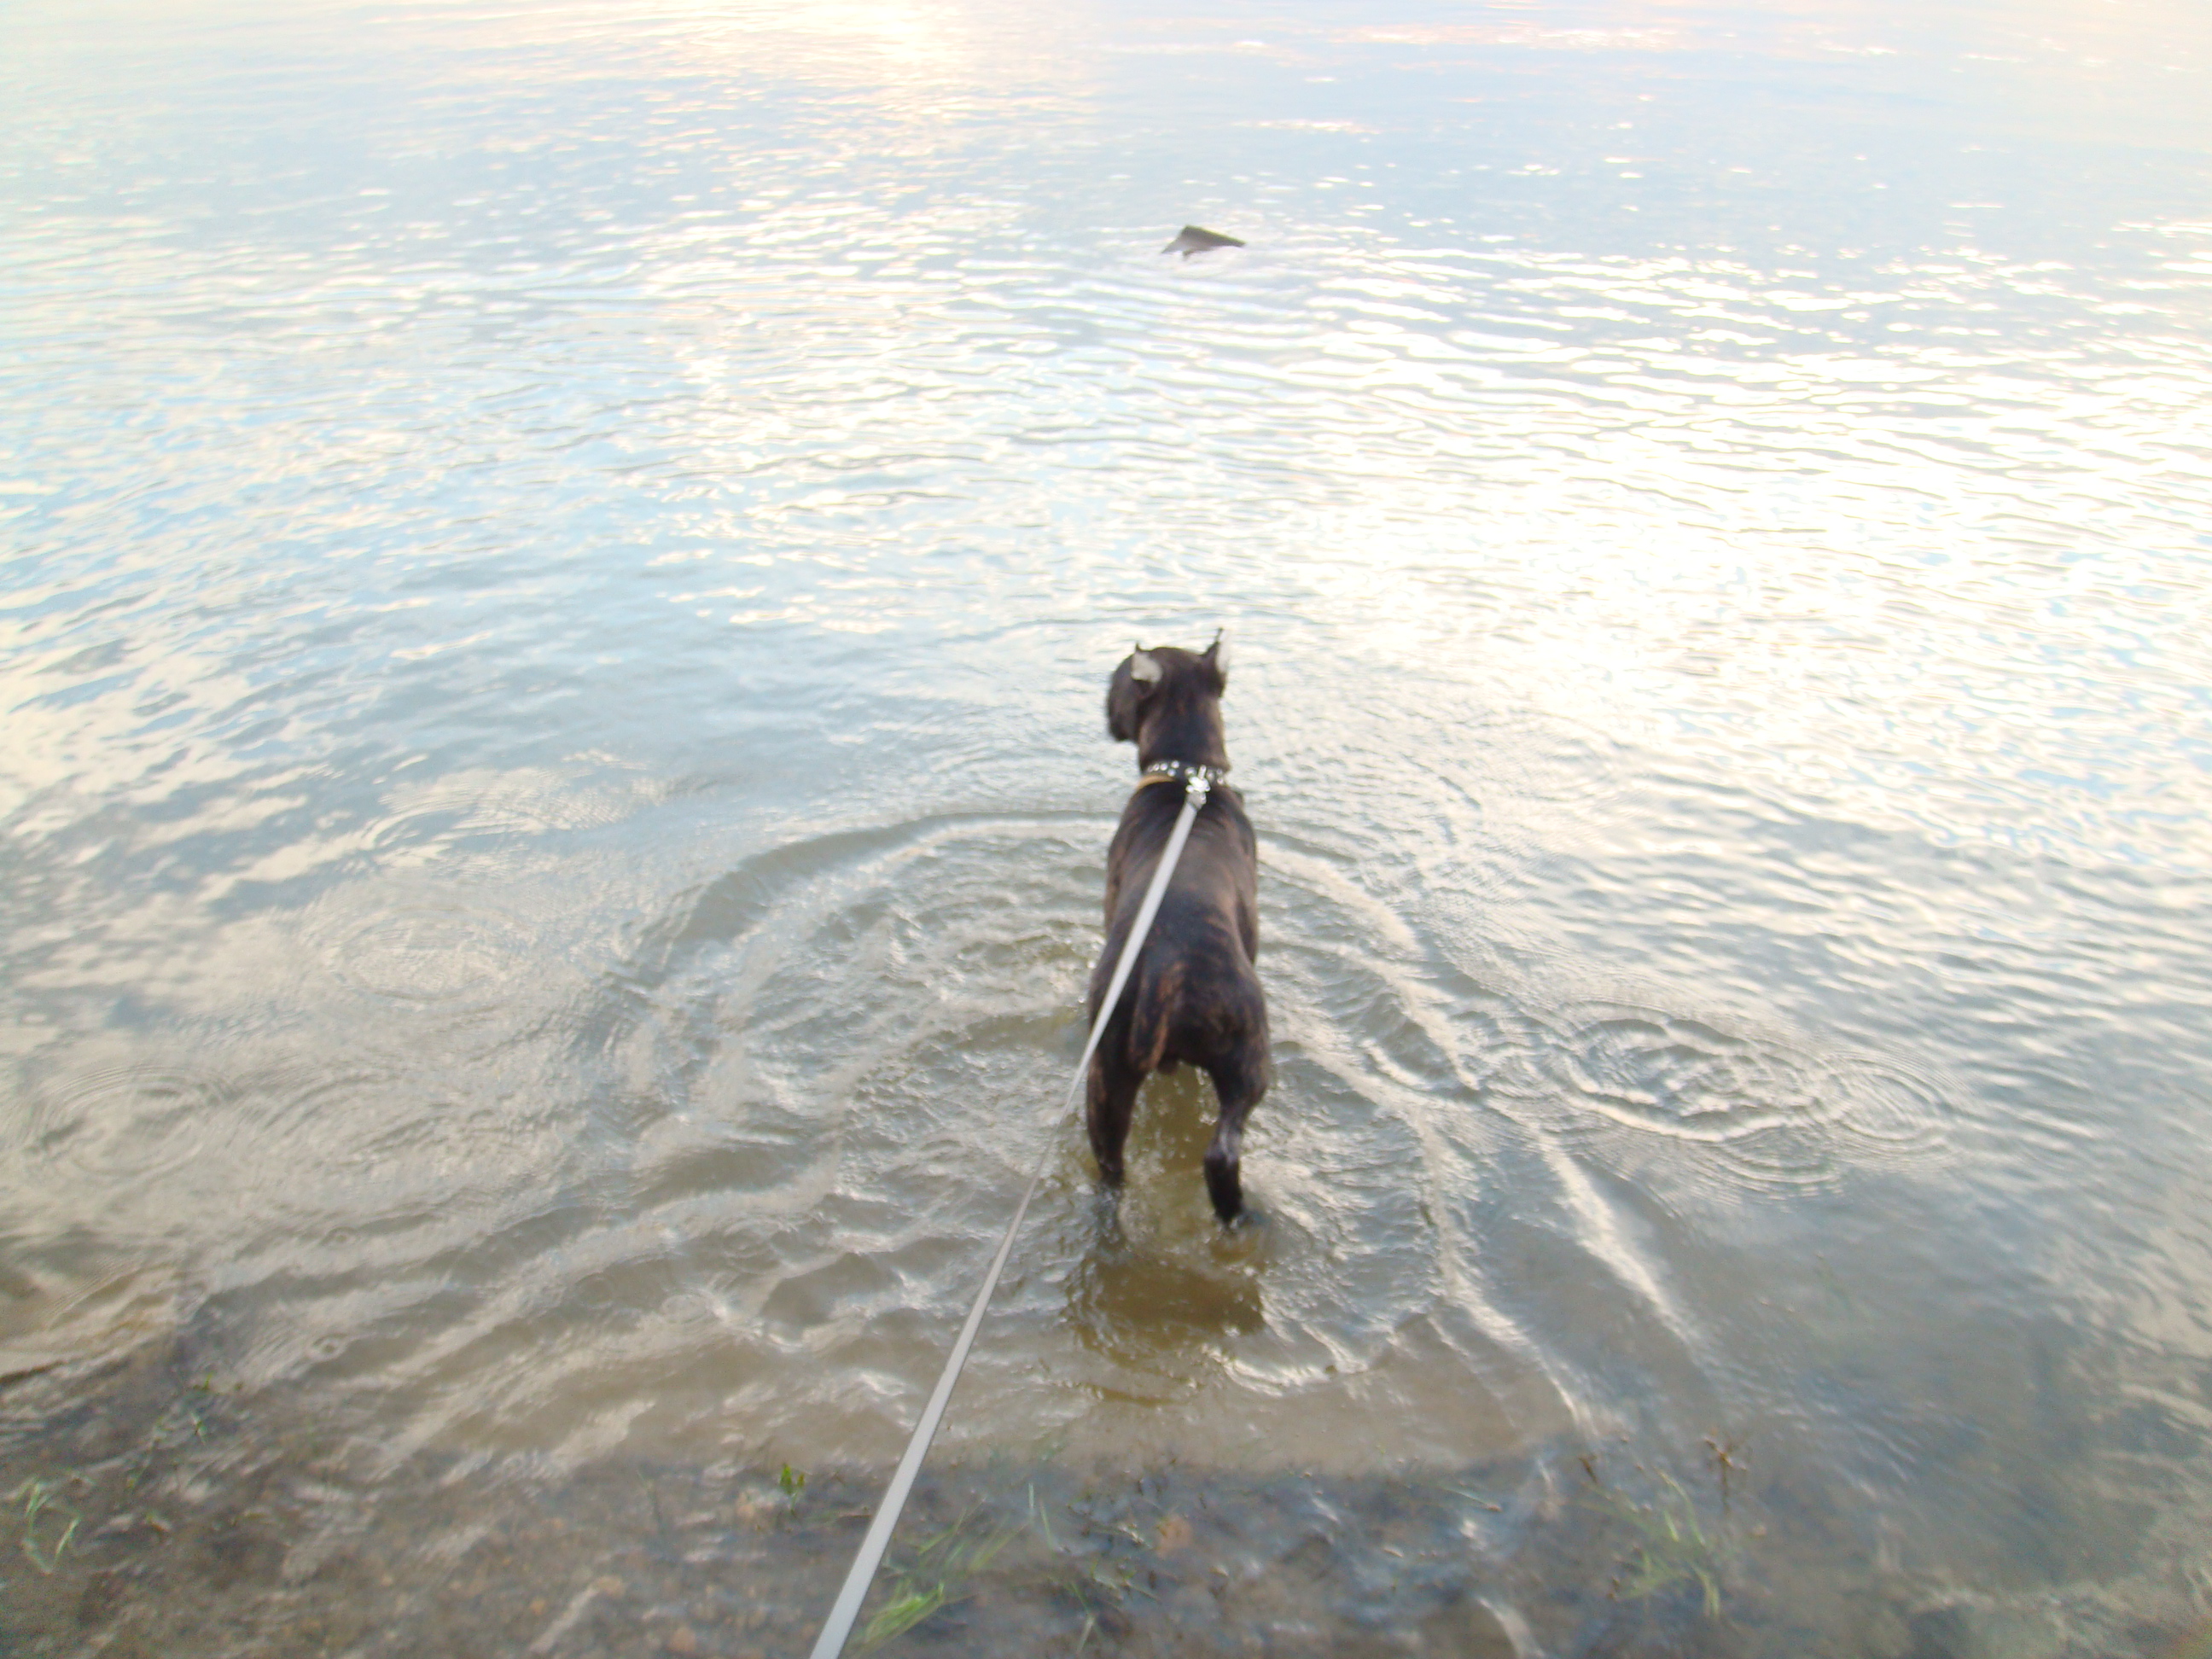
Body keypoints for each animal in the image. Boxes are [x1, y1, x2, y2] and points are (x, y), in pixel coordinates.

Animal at [1088, 636, 1271, 1222]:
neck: (1188, 773)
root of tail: (1164, 973)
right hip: (1250, 1060)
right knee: (1222, 1150)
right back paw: (1236, 1213)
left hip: (1108, 1079)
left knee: (1113, 1165)